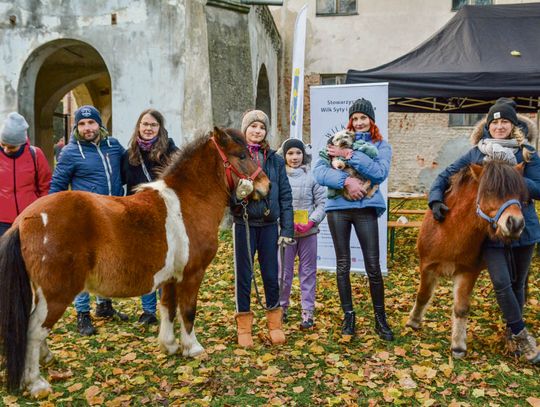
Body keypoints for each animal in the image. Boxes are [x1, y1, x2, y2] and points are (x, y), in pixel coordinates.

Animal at [0, 126, 270, 398]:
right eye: (242, 155)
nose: (266, 185)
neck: (187, 202)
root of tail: (25, 220)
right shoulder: (192, 274)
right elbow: (188, 311)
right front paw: (193, 348)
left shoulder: (171, 278)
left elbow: (168, 308)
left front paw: (170, 346)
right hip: (56, 293)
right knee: (34, 330)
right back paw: (36, 383)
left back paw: (46, 360)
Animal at [404, 161, 528, 358]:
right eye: (490, 190)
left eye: (520, 194)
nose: (515, 224)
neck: (449, 232)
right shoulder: (426, 266)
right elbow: (423, 295)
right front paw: (413, 321)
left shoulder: (467, 272)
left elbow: (461, 308)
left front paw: (458, 345)